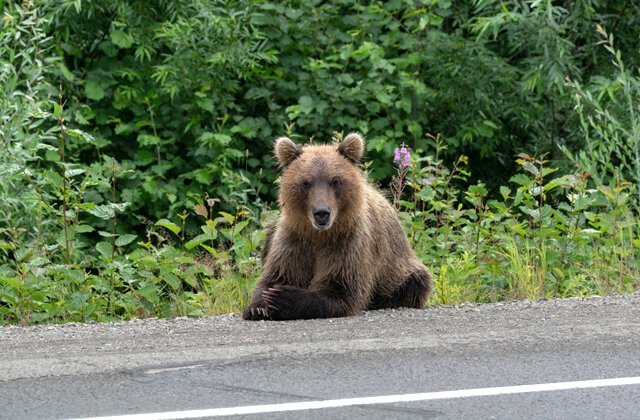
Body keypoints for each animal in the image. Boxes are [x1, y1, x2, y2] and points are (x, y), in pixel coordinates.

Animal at [242, 133, 432, 320]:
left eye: (335, 181)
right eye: (306, 182)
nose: (321, 212)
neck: (319, 235)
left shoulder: (349, 242)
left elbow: (342, 289)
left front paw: (282, 297)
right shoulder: (294, 239)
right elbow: (274, 275)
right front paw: (258, 307)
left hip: (399, 268)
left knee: (412, 284)